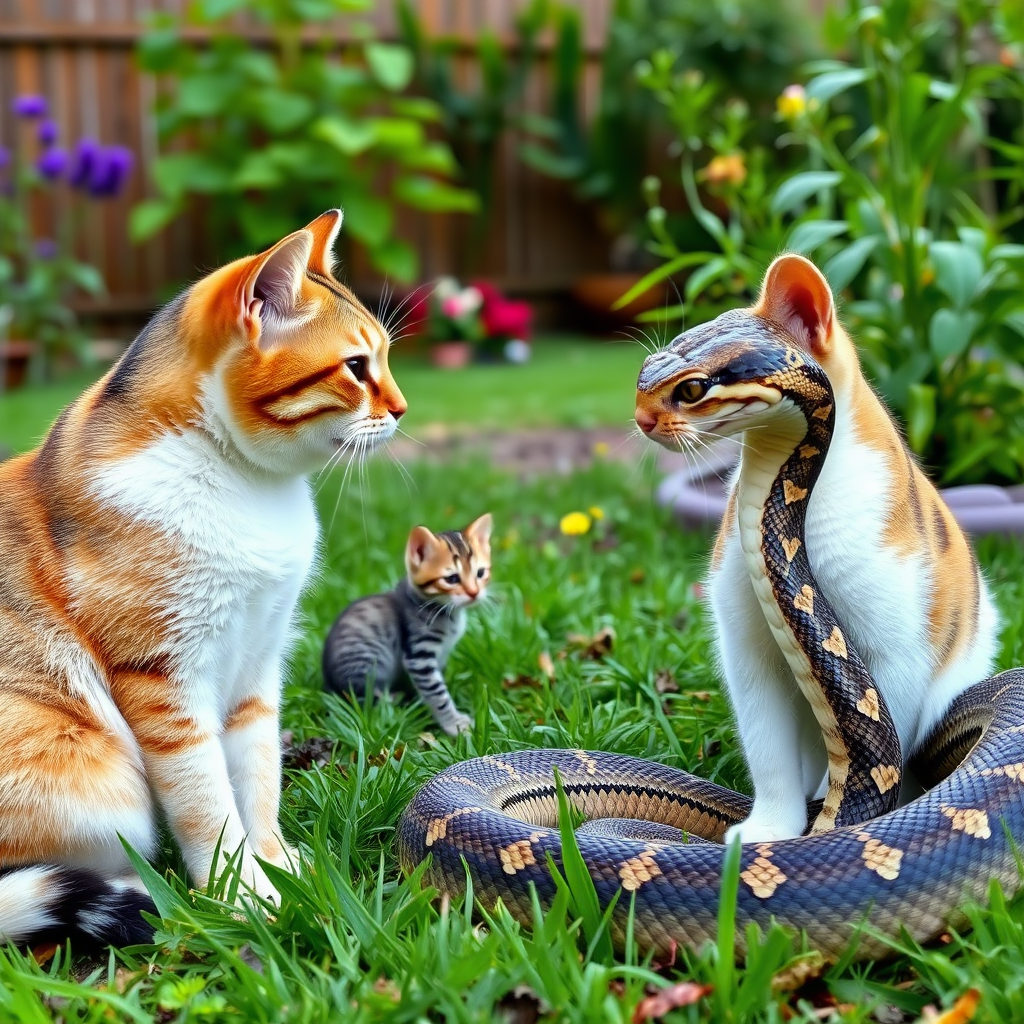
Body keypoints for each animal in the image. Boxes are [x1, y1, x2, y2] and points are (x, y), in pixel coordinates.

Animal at [0, 211, 407, 946]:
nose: (402, 408)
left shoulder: (257, 664)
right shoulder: (164, 680)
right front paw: (241, 897)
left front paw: (277, 869)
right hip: (97, 785)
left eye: (383, 360)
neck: (249, 486)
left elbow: (258, 780)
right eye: (357, 367)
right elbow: (207, 803)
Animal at [323, 516, 491, 733]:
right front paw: (454, 723)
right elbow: (437, 693)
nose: (474, 593)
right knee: (361, 697)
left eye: (480, 573)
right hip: (365, 663)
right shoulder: (419, 656)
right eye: (452, 578)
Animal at [634, 253, 995, 839]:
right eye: (644, 372)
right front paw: (768, 831)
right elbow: (769, 749)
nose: (642, 418)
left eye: (691, 390)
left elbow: (888, 731)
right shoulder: (743, 643)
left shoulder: (898, 650)